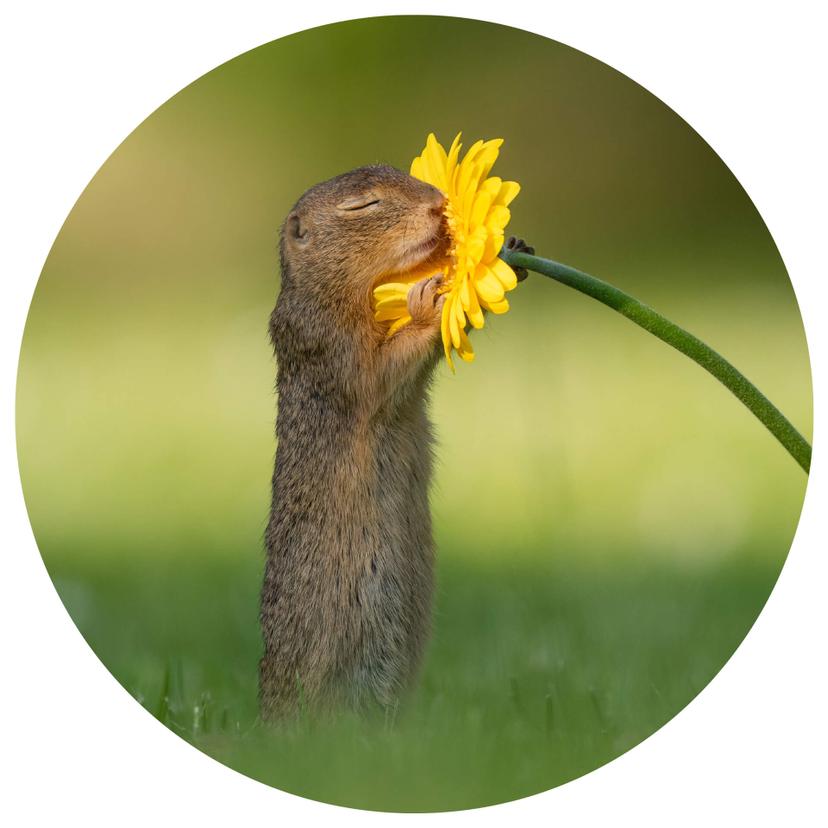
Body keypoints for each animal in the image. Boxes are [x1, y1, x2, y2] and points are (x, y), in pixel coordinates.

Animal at [259, 163, 531, 718]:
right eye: (363, 205)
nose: (438, 205)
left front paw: (510, 247)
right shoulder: (331, 346)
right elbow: (380, 374)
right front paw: (426, 303)